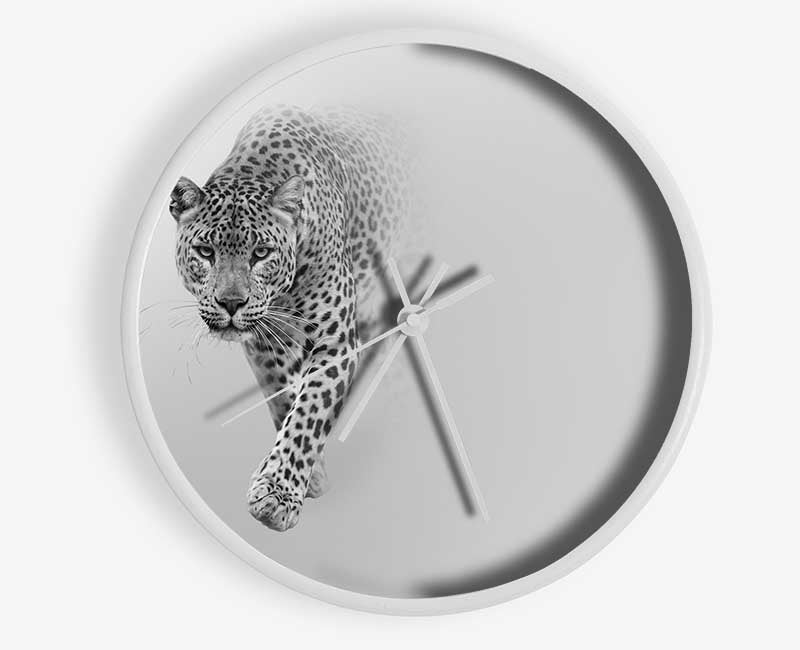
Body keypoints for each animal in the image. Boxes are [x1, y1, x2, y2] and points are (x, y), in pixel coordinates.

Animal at [170, 105, 411, 531]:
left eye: (261, 253)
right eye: (205, 251)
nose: (231, 303)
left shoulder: (334, 341)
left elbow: (309, 409)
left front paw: (278, 494)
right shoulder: (265, 342)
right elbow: (284, 398)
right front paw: (308, 477)